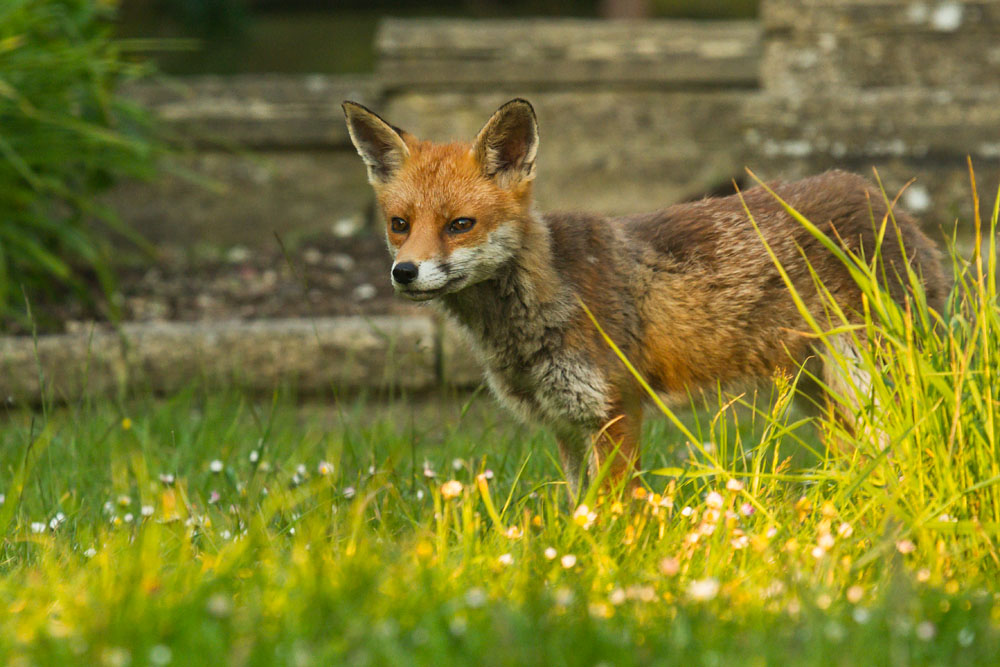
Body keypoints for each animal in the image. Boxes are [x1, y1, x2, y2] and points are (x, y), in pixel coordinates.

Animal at [342, 98, 947, 497]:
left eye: (459, 225)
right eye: (399, 225)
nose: (404, 272)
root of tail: (884, 199)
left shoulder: (615, 410)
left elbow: (612, 513)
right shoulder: (565, 424)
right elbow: (577, 510)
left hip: (871, 380)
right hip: (821, 394)